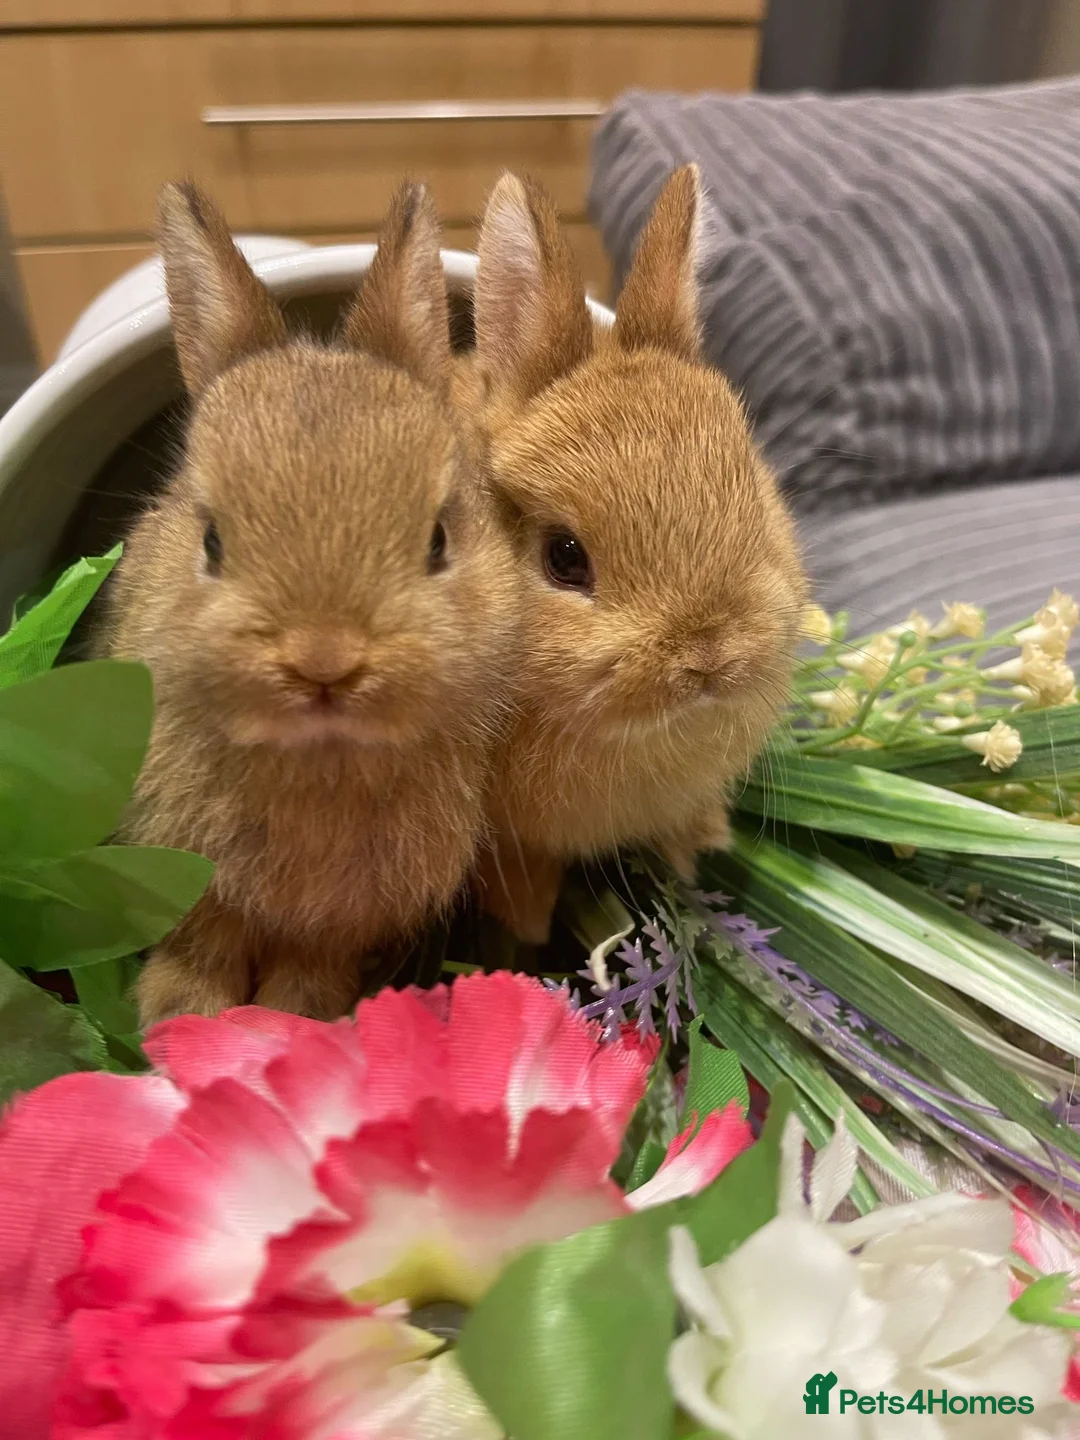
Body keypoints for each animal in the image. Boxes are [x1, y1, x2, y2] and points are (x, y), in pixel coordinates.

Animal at [103, 178, 518, 1026]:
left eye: (438, 540)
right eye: (211, 540)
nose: (324, 662)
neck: (321, 759)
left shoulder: (344, 921)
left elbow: (309, 967)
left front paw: (293, 1021)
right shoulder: (194, 882)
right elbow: (201, 943)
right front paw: (179, 1019)